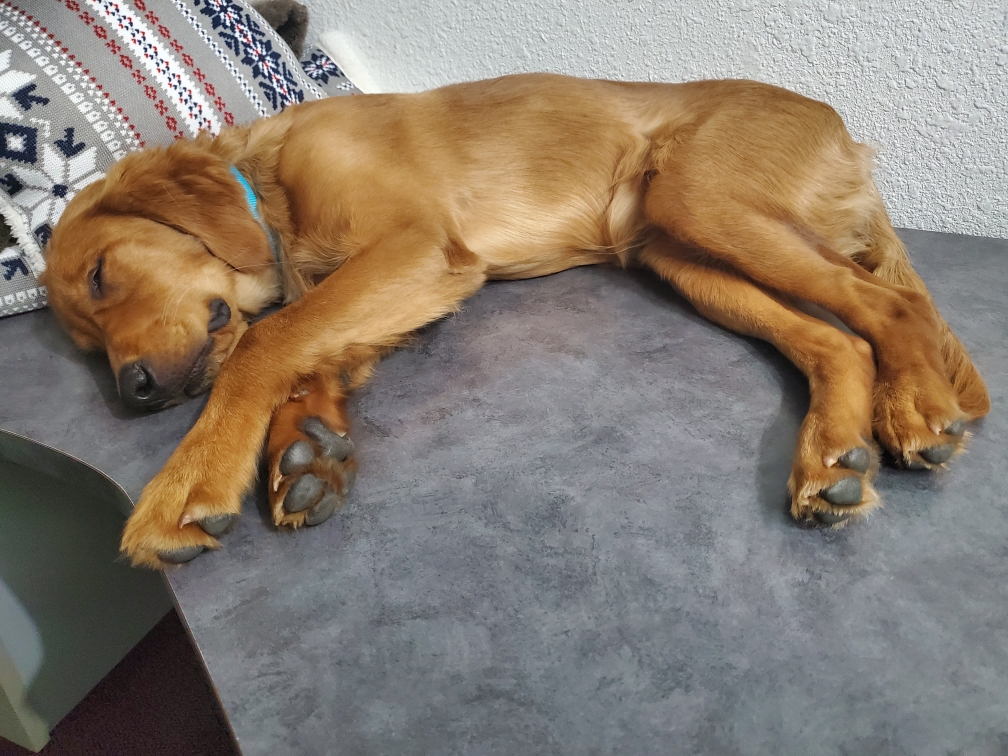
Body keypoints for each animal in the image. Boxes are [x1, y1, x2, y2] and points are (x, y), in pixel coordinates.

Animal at [40, 74, 990, 568]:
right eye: (84, 344)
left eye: (101, 274)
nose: (132, 393)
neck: (268, 187)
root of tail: (845, 131)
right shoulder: (391, 284)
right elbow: (311, 350)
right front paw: (305, 448)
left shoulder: (418, 248)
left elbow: (269, 340)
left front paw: (189, 481)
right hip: (682, 253)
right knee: (840, 337)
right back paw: (833, 456)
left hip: (703, 198)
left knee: (890, 304)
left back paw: (915, 408)